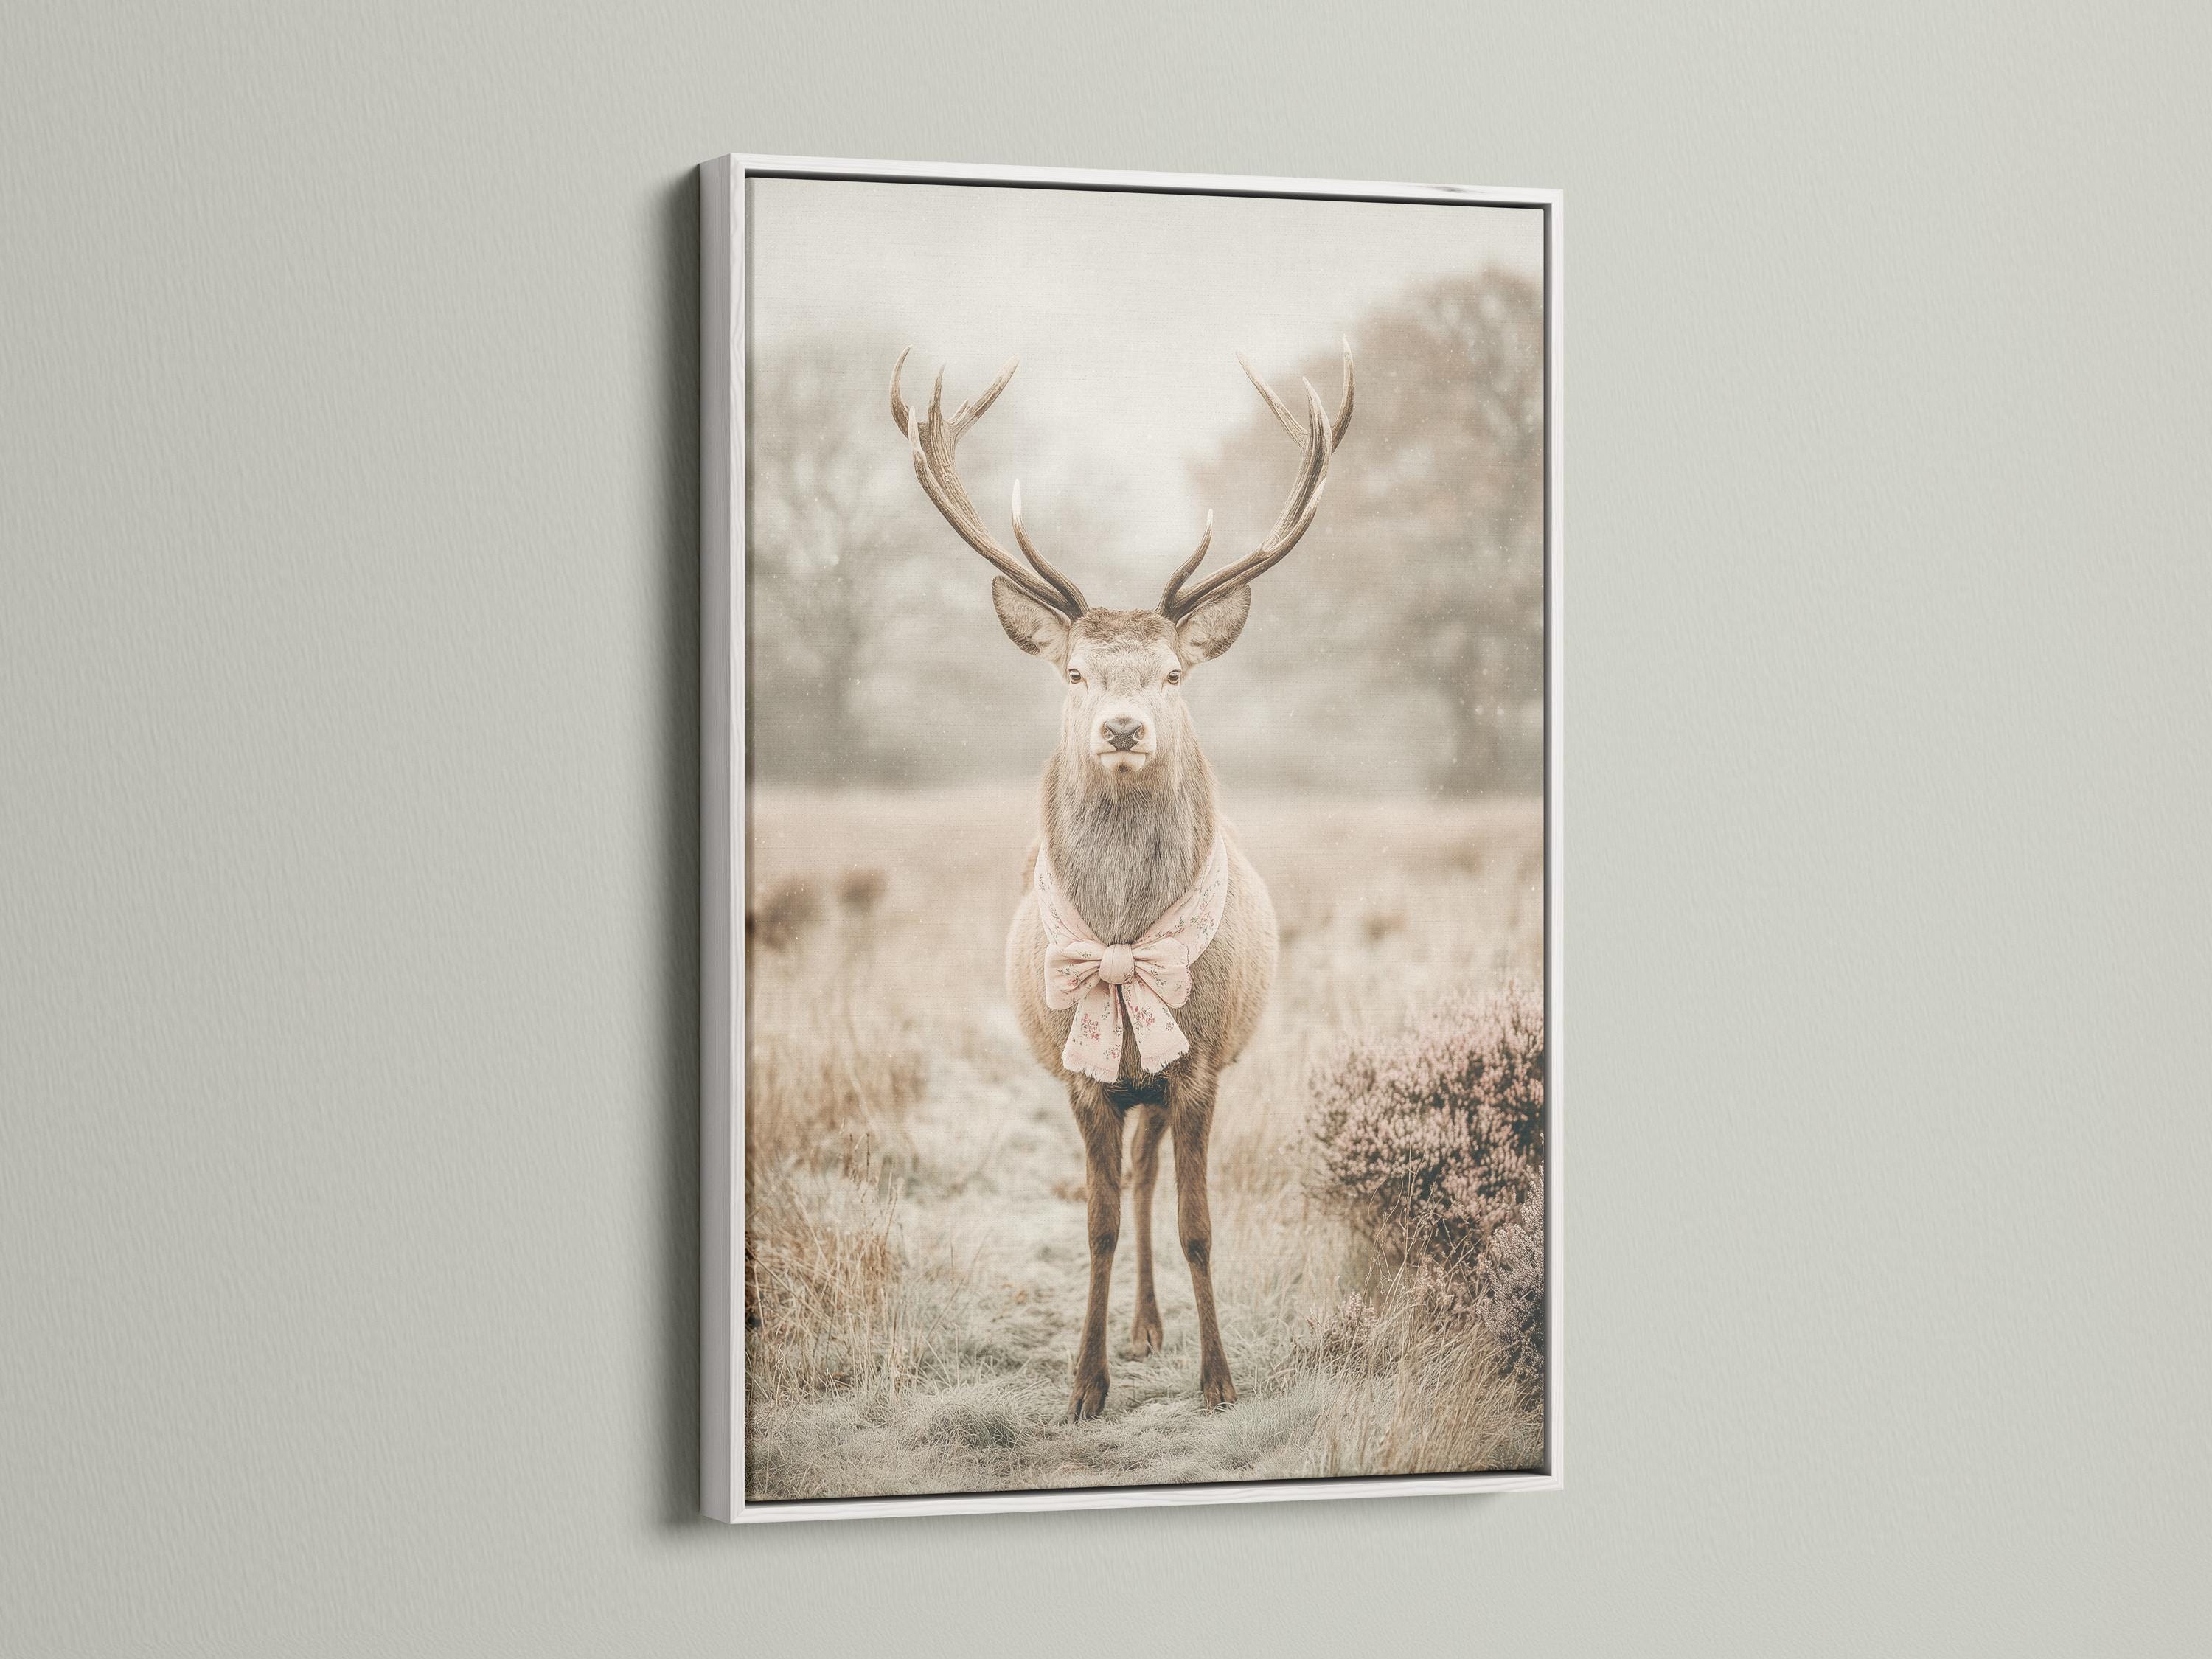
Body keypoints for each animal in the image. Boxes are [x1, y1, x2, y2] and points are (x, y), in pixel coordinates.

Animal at [890, 342, 1353, 1420]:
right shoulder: (1081, 1072)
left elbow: (1198, 1225)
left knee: (1150, 1188)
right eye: (1074, 672)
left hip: (1165, 1074)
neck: (1122, 938)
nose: (1125, 727)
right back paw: (1132, 1331)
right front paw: (1084, 1384)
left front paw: (1218, 1378)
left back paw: (1153, 1325)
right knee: (1127, 1191)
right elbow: (1094, 1223)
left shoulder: (1201, 1063)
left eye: (1175, 675)